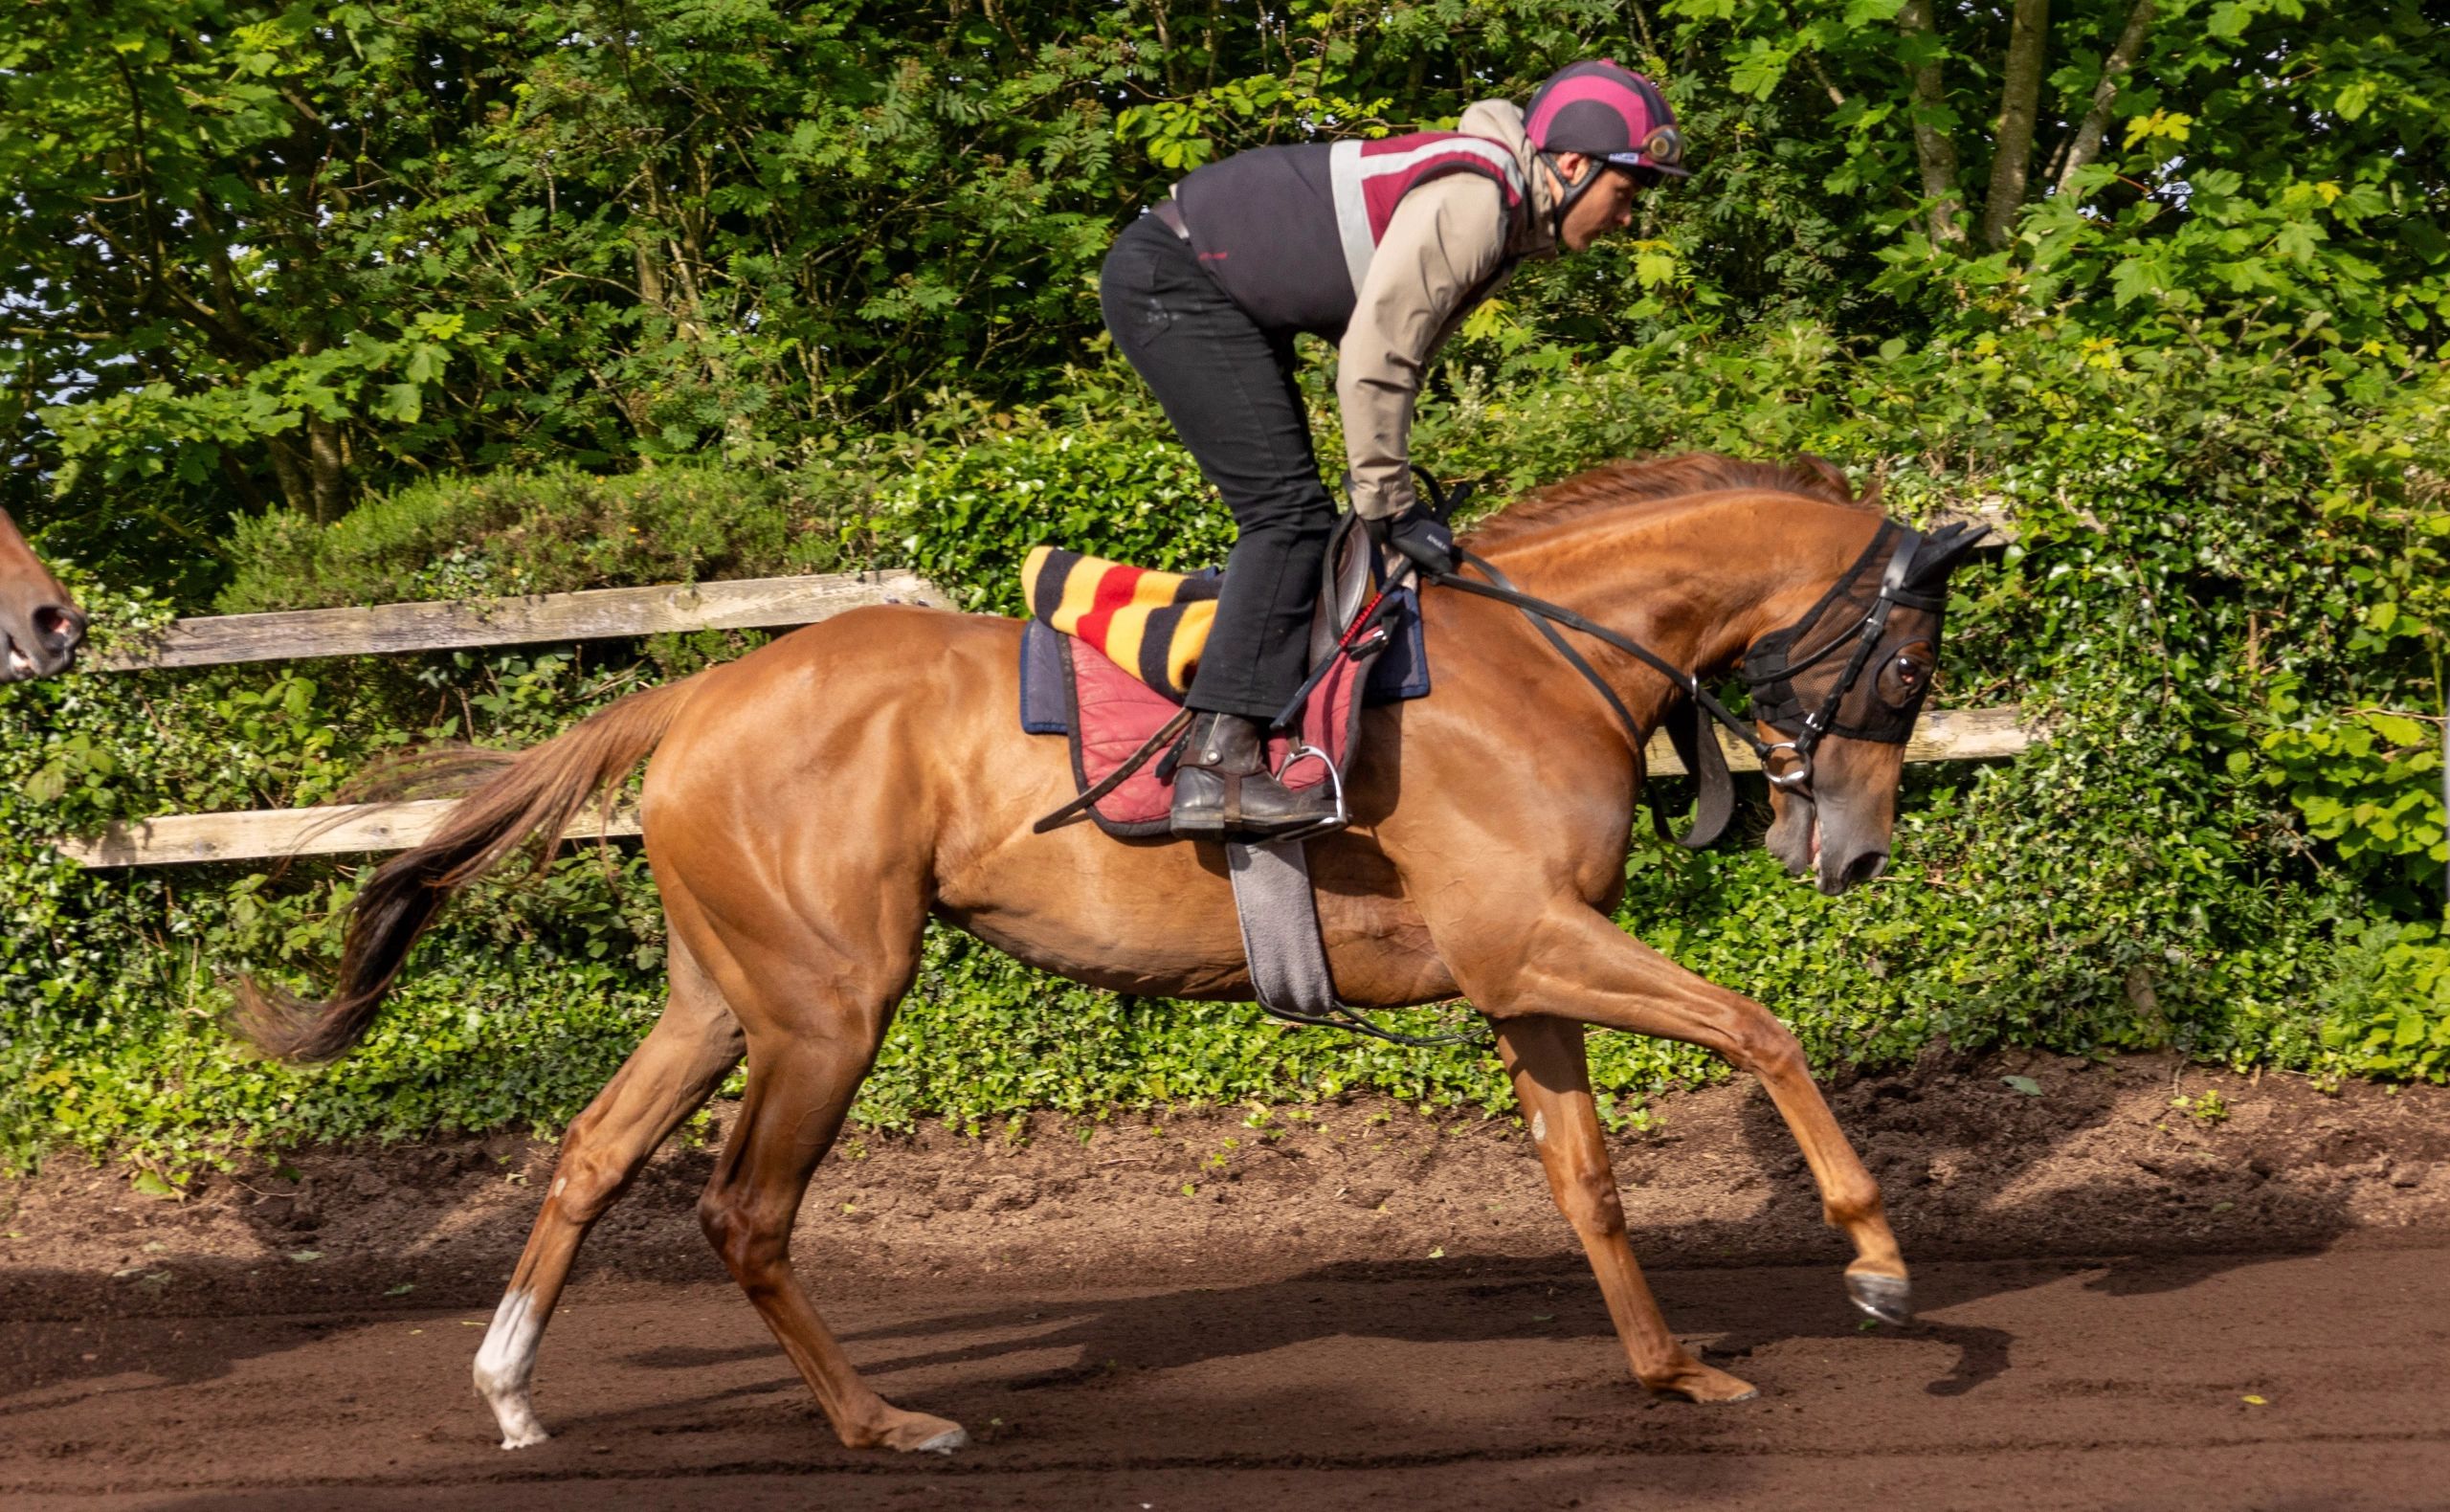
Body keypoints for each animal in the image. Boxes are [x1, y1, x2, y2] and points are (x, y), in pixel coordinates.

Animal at [236, 452, 1989, 1454]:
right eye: (1912, 667)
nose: (1855, 847)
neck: (1530, 661)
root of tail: (695, 690)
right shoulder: (1533, 936)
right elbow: (1763, 1028)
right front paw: (1880, 1265)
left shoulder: (1518, 971)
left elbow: (1590, 1182)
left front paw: (1673, 1371)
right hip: (829, 1002)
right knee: (743, 1210)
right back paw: (879, 1423)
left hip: (724, 990)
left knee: (596, 1151)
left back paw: (514, 1391)